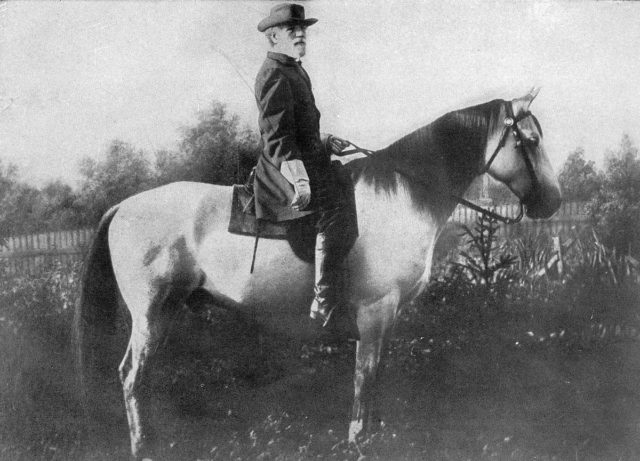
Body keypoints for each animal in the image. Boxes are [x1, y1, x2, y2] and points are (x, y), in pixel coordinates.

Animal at [74, 89, 560, 456]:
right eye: (531, 140)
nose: (552, 202)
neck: (403, 196)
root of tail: (122, 207)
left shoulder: (388, 317)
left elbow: (375, 376)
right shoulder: (375, 312)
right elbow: (365, 377)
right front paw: (359, 440)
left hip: (164, 313)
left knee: (140, 377)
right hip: (151, 314)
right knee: (132, 377)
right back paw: (143, 446)